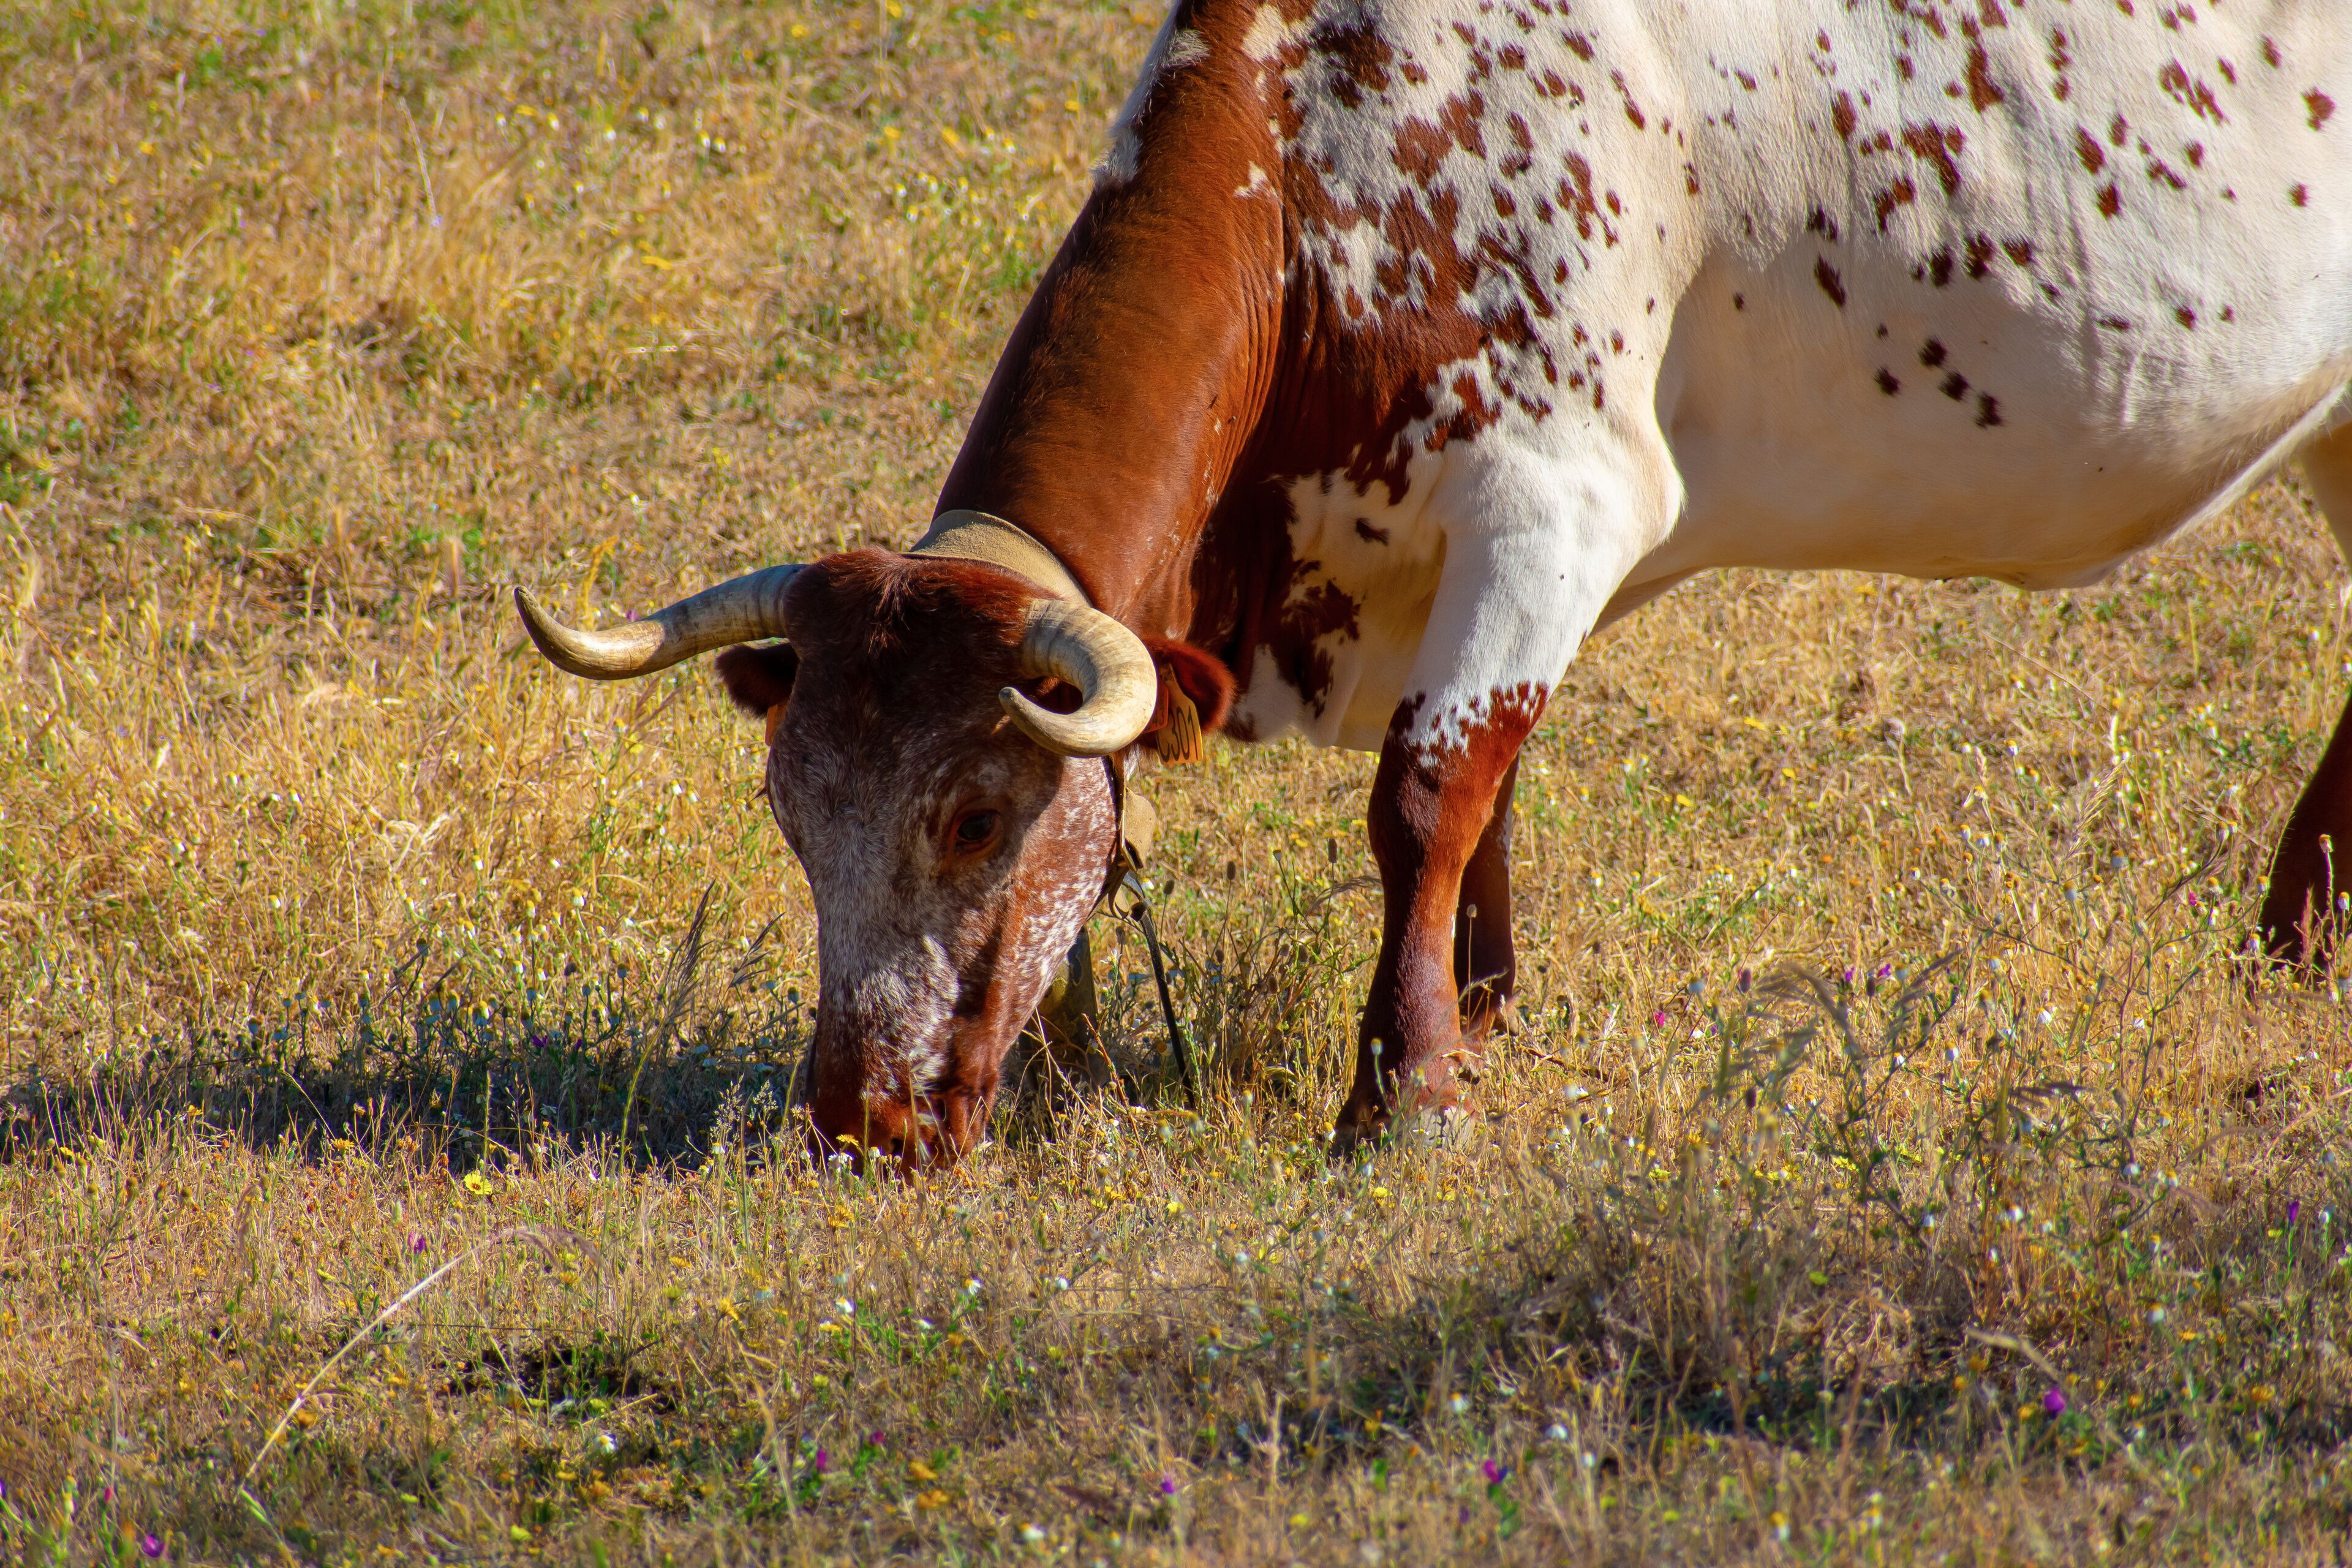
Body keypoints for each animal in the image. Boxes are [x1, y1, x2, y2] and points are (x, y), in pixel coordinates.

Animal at [516, 0, 2352, 1167]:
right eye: (788, 811)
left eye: (970, 814)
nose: (858, 1120)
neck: (1331, 156)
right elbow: (1486, 794)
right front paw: (1482, 1011)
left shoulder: (1555, 501)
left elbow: (1429, 791)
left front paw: (1404, 1093)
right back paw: (2297, 936)